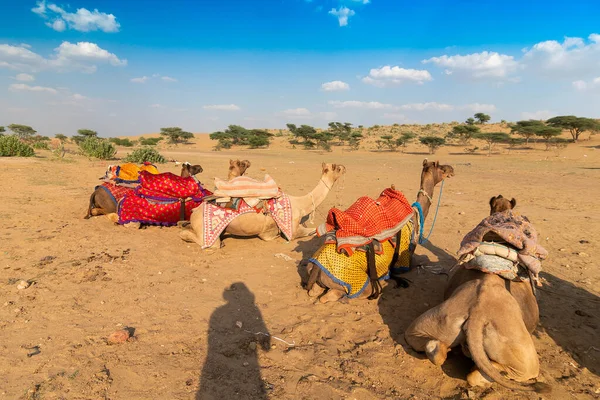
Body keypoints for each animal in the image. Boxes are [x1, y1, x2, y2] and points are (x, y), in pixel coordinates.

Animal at [179, 162, 346, 247]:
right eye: (337, 167)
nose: (345, 167)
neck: (300, 204)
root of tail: (195, 211)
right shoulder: (291, 231)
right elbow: (311, 231)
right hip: (206, 232)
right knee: (197, 238)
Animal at [304, 159, 454, 304]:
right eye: (441, 168)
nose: (451, 169)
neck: (415, 217)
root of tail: (316, 269)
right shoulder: (404, 259)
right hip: (353, 281)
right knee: (336, 295)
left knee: (314, 292)